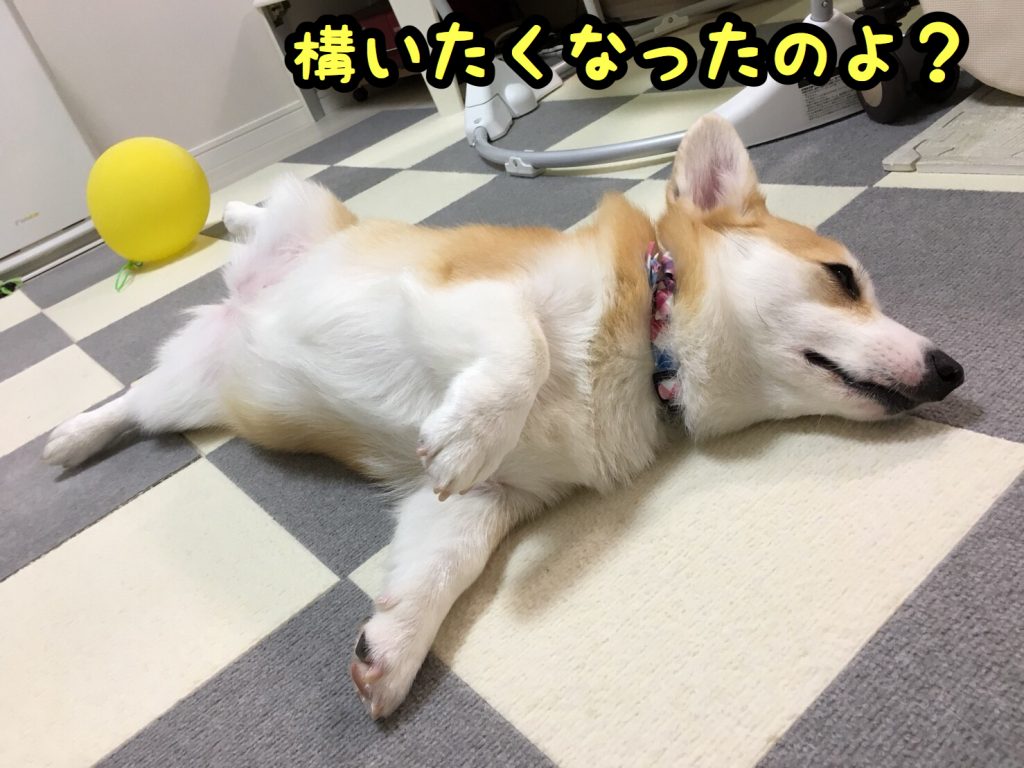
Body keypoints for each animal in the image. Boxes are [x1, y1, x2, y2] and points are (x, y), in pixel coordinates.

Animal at [43, 115, 964, 719]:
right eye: (843, 279)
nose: (951, 371)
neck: (649, 350)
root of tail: (242, 301)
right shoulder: (469, 297)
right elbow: (524, 349)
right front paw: (465, 433)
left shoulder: (496, 502)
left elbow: (442, 565)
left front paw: (392, 653)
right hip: (308, 211)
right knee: (270, 208)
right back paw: (225, 222)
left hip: (185, 396)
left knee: (132, 405)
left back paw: (71, 438)